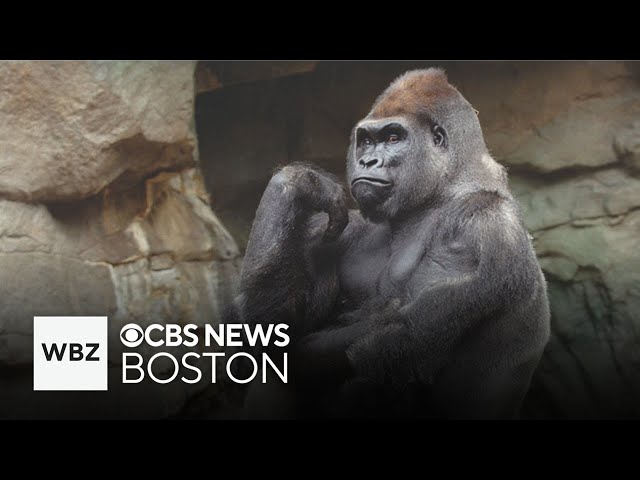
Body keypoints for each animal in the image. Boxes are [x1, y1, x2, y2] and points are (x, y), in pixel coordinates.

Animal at [228, 68, 552, 420]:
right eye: (367, 141)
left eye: (394, 138)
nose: (368, 161)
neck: (449, 185)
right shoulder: (344, 228)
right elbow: (276, 328)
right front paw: (301, 183)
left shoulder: (482, 225)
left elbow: (389, 338)